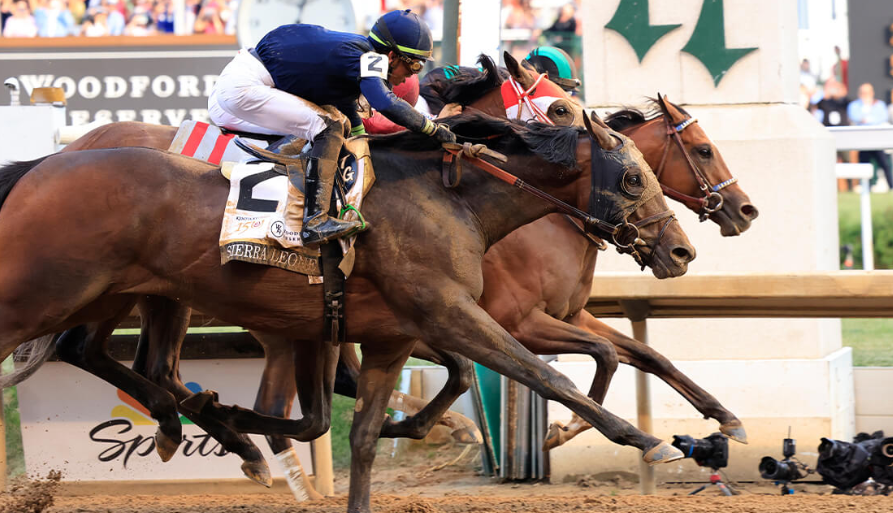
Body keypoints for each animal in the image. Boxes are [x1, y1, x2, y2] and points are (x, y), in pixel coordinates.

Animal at [0, 112, 694, 513]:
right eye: (634, 179)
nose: (681, 250)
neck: (453, 200)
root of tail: (40, 165)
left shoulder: (386, 337)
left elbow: (357, 434)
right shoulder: (453, 315)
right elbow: (545, 374)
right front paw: (647, 440)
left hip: (127, 295)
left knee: (112, 357)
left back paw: (204, 430)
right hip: (48, 294)